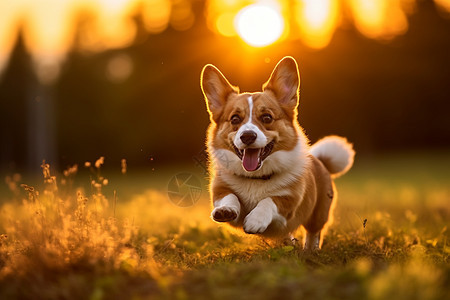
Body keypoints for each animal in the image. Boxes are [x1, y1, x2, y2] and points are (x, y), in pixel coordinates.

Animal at [201, 56, 356, 251]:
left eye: (267, 117)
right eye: (235, 119)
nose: (247, 136)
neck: (256, 179)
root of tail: (320, 160)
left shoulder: (288, 203)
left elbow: (269, 201)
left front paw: (255, 220)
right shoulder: (220, 190)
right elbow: (229, 197)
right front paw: (225, 210)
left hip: (318, 214)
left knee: (313, 232)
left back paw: (310, 250)